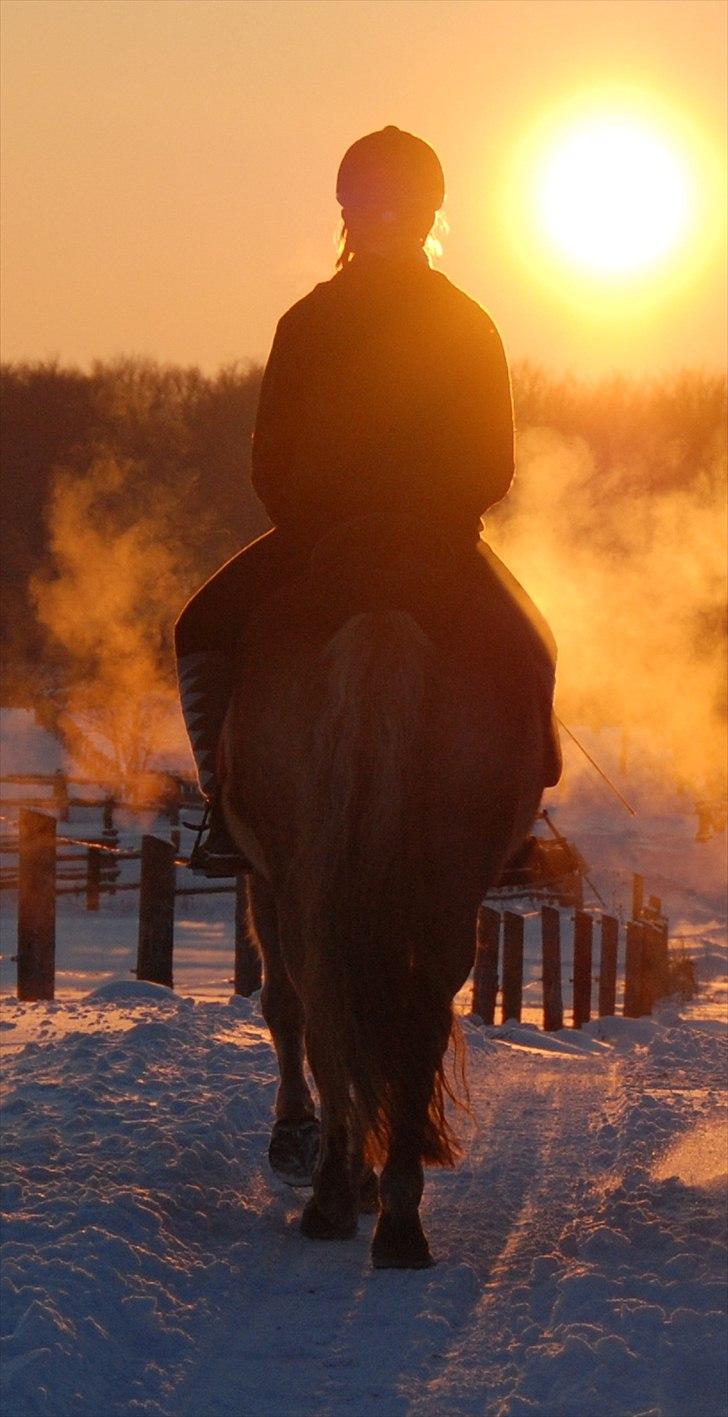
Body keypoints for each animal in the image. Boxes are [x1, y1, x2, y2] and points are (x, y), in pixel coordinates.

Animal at [218, 532, 552, 1275]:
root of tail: (383, 615)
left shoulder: (266, 876)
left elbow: (282, 1006)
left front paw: (297, 1138)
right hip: (446, 887)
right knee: (411, 1014)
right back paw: (394, 1215)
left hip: (305, 882)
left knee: (325, 1008)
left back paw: (342, 1193)